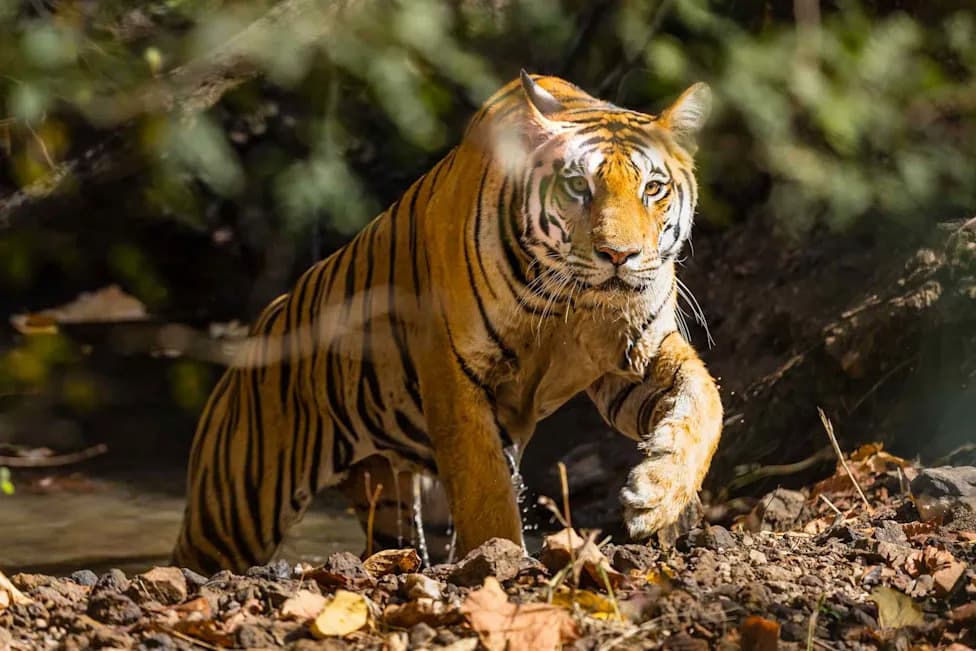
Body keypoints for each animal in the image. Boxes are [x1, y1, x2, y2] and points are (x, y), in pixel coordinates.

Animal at [172, 71, 723, 575]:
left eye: (653, 188)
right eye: (577, 186)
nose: (619, 256)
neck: (573, 304)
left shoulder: (633, 355)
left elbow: (704, 401)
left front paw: (655, 497)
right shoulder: (456, 374)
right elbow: (486, 492)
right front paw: (501, 561)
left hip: (385, 493)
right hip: (234, 507)